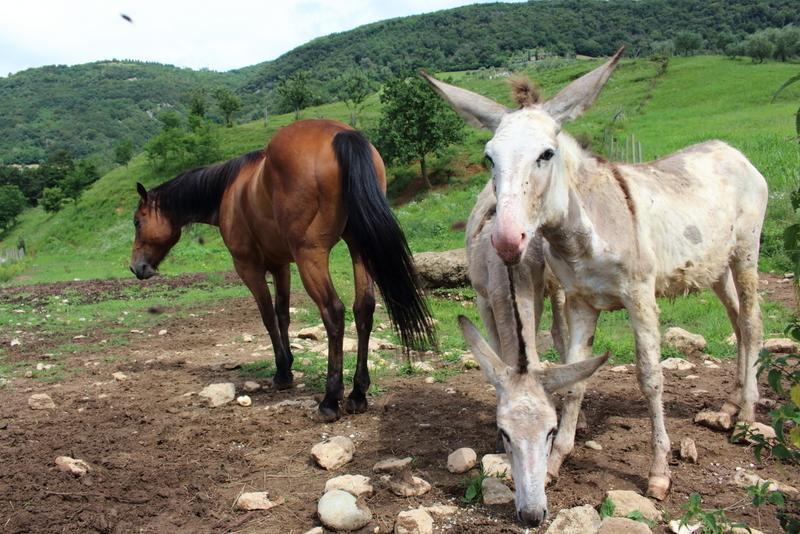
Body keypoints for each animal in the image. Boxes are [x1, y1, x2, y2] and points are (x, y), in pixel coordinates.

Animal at [129, 120, 434, 422]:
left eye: (137, 222)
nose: (136, 267)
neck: (230, 189)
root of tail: (340, 135)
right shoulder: (280, 265)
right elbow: (283, 315)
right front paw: (287, 367)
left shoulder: (249, 268)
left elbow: (267, 316)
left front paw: (282, 372)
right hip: (359, 248)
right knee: (364, 308)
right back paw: (357, 394)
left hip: (310, 255)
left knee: (333, 312)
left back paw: (330, 400)